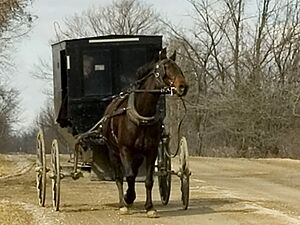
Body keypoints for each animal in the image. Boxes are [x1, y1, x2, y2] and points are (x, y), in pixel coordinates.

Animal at [102, 47, 189, 218]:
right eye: (165, 67)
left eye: (178, 67)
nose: (183, 87)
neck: (142, 114)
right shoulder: (125, 150)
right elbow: (128, 176)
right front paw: (127, 199)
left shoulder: (151, 151)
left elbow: (148, 180)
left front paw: (149, 207)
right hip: (113, 151)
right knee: (119, 177)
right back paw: (123, 202)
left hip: (137, 155)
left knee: (134, 172)